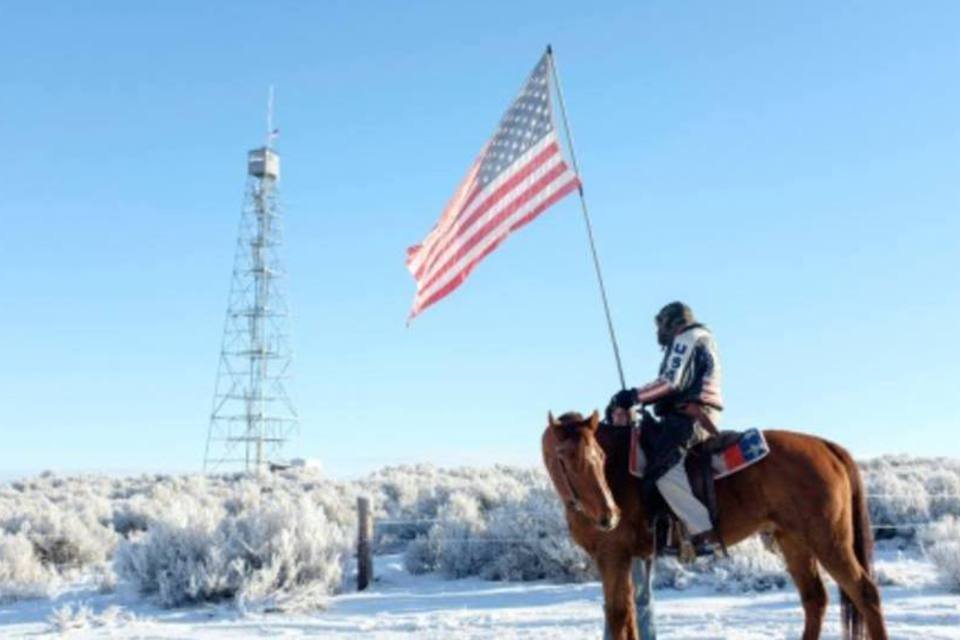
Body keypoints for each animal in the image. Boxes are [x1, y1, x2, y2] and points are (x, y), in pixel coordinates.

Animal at [540, 410, 884, 640]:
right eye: (565, 457)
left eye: (599, 455)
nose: (609, 515)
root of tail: (827, 446)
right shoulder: (627, 559)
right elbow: (629, 616)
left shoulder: (613, 556)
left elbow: (618, 615)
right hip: (793, 541)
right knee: (815, 599)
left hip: (828, 540)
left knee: (865, 593)